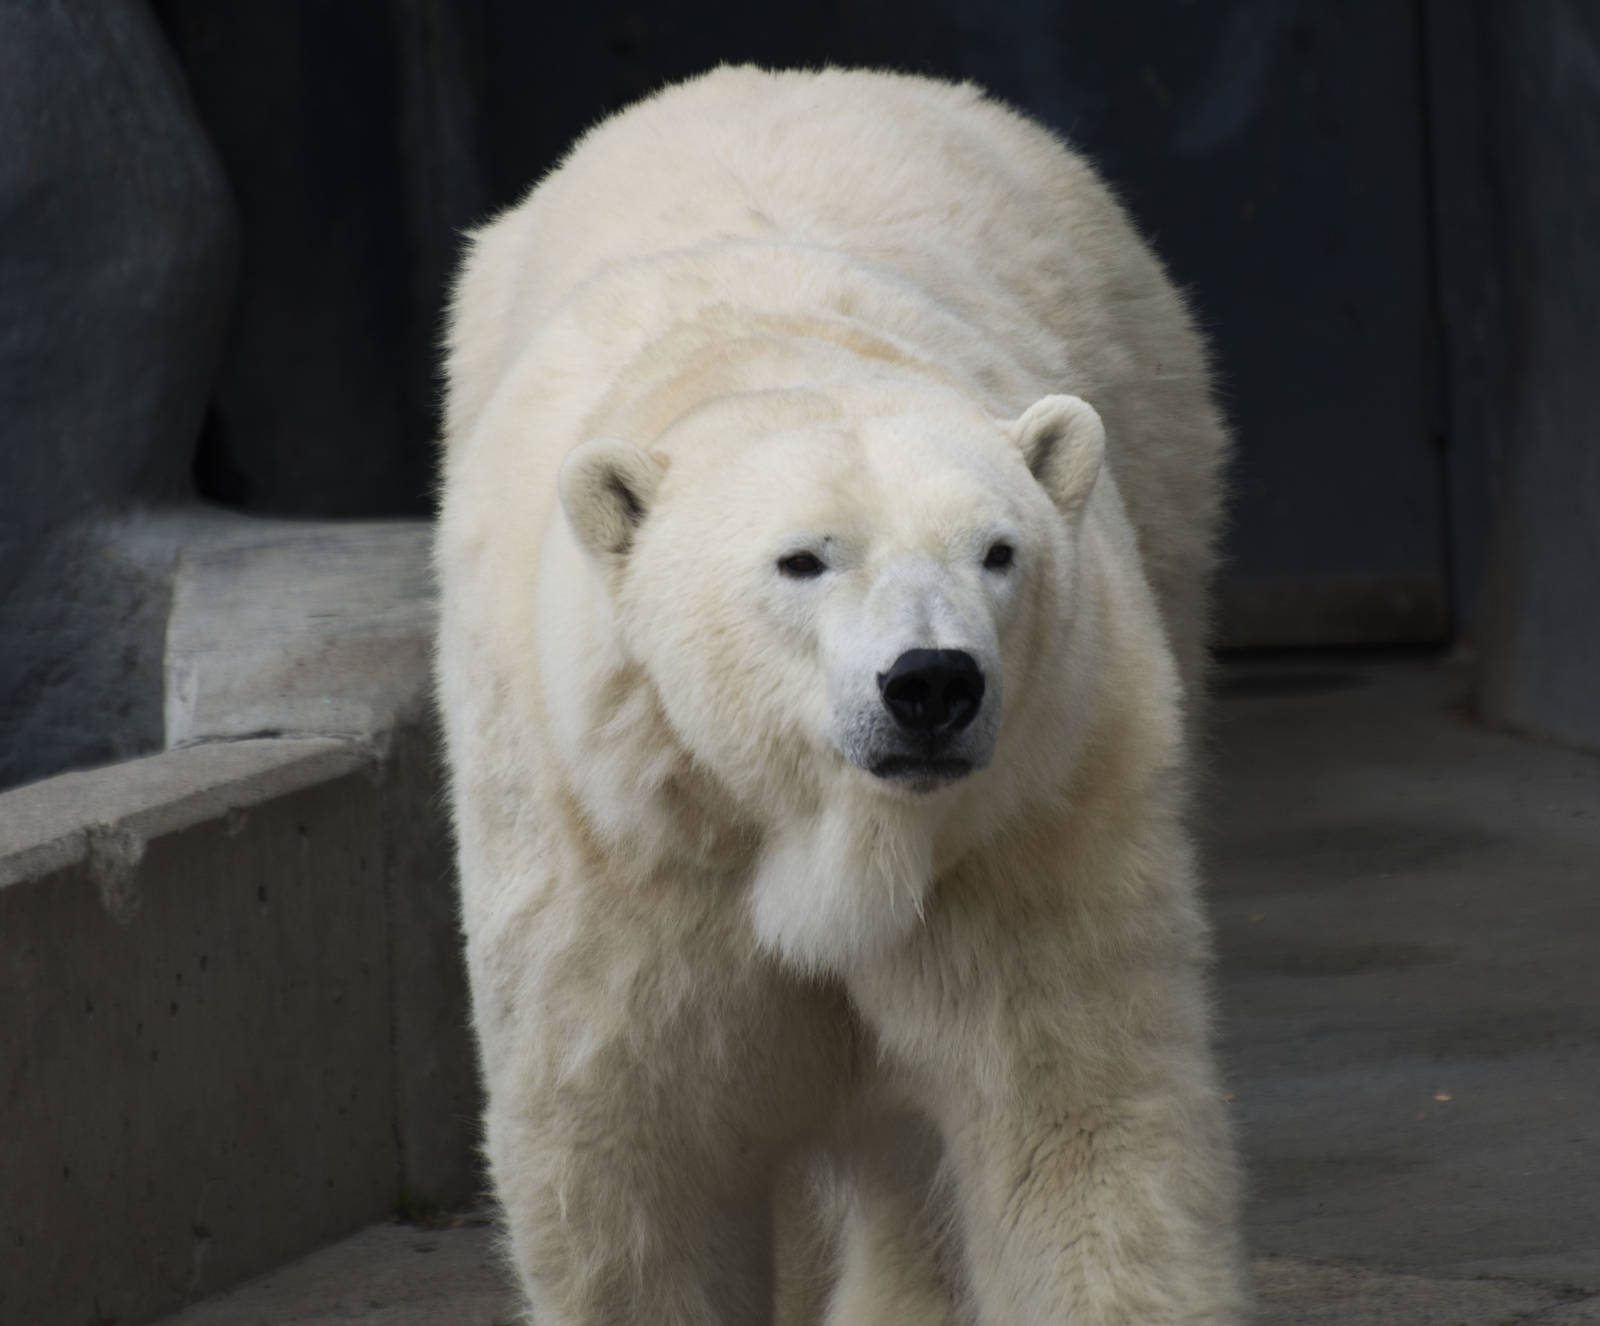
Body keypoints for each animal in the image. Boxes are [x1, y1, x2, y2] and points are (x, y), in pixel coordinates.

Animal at [435, 65, 1246, 1325]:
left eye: (998, 551)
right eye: (803, 559)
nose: (931, 684)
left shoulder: (1028, 830)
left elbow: (1071, 1120)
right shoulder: (622, 858)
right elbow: (627, 1166)